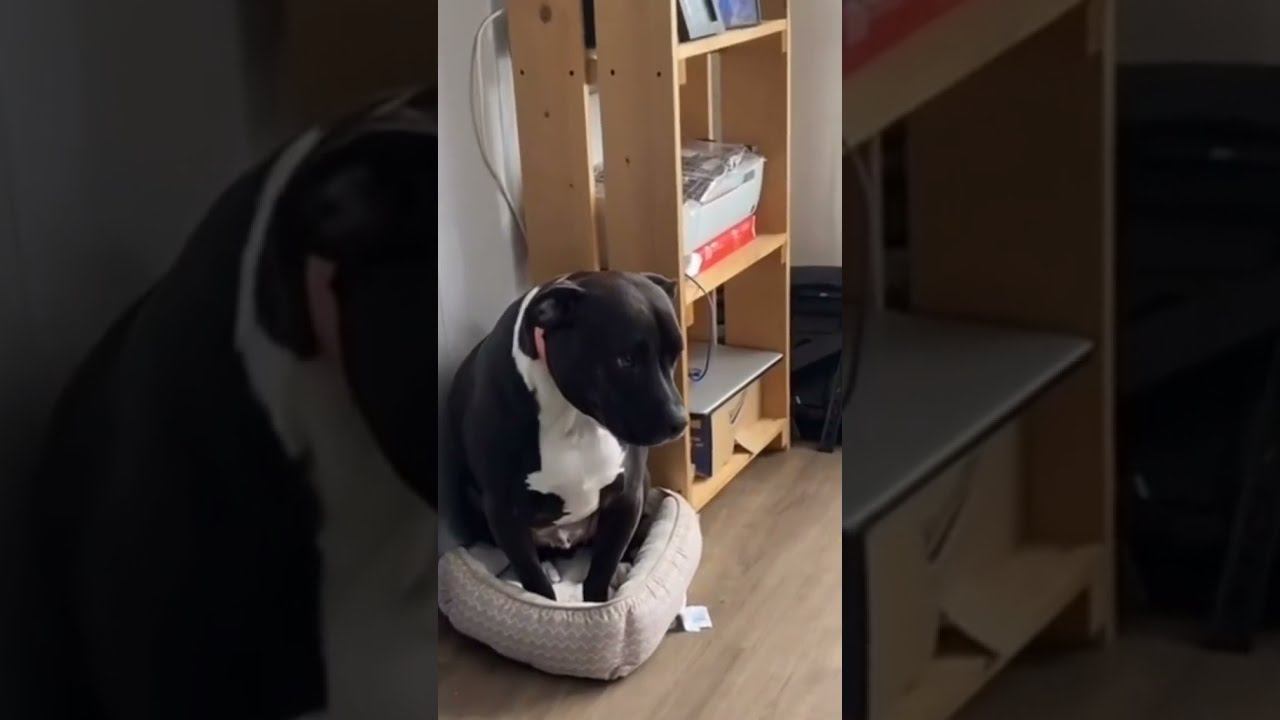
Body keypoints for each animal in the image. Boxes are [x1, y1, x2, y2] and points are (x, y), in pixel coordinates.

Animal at [446, 271, 688, 602]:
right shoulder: (504, 513)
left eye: (675, 355)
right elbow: (536, 585)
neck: (574, 417)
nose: (680, 421)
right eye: (625, 359)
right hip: (473, 500)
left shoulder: (626, 498)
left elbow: (601, 572)